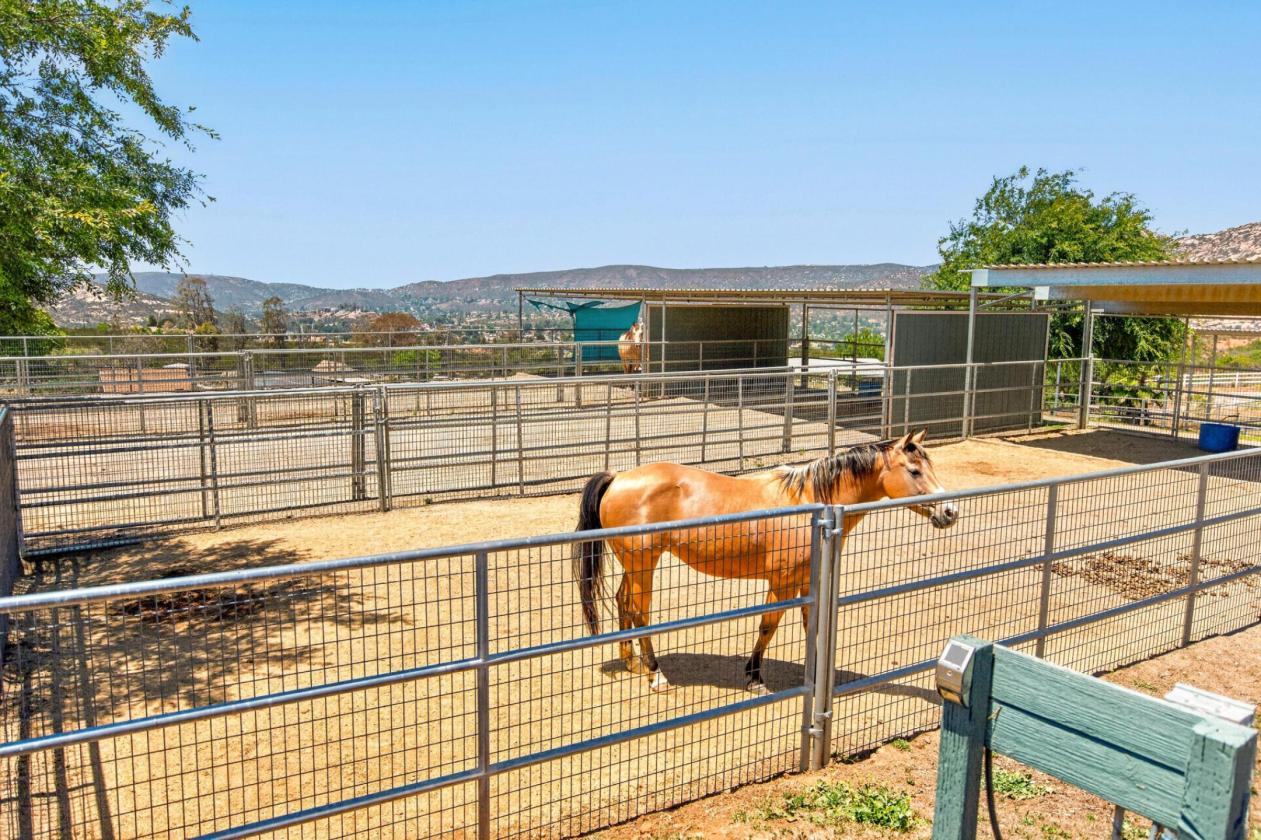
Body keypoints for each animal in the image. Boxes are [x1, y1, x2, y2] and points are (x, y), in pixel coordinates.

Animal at [571, 430, 957, 693]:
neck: (810, 502)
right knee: (640, 612)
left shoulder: (806, 582)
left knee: (623, 602)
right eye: (914, 471)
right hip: (642, 564)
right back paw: (656, 675)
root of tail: (618, 477)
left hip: (635, 565)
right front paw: (754, 678)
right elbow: (768, 626)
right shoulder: (782, 582)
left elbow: (810, 624)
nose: (951, 511)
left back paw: (632, 663)